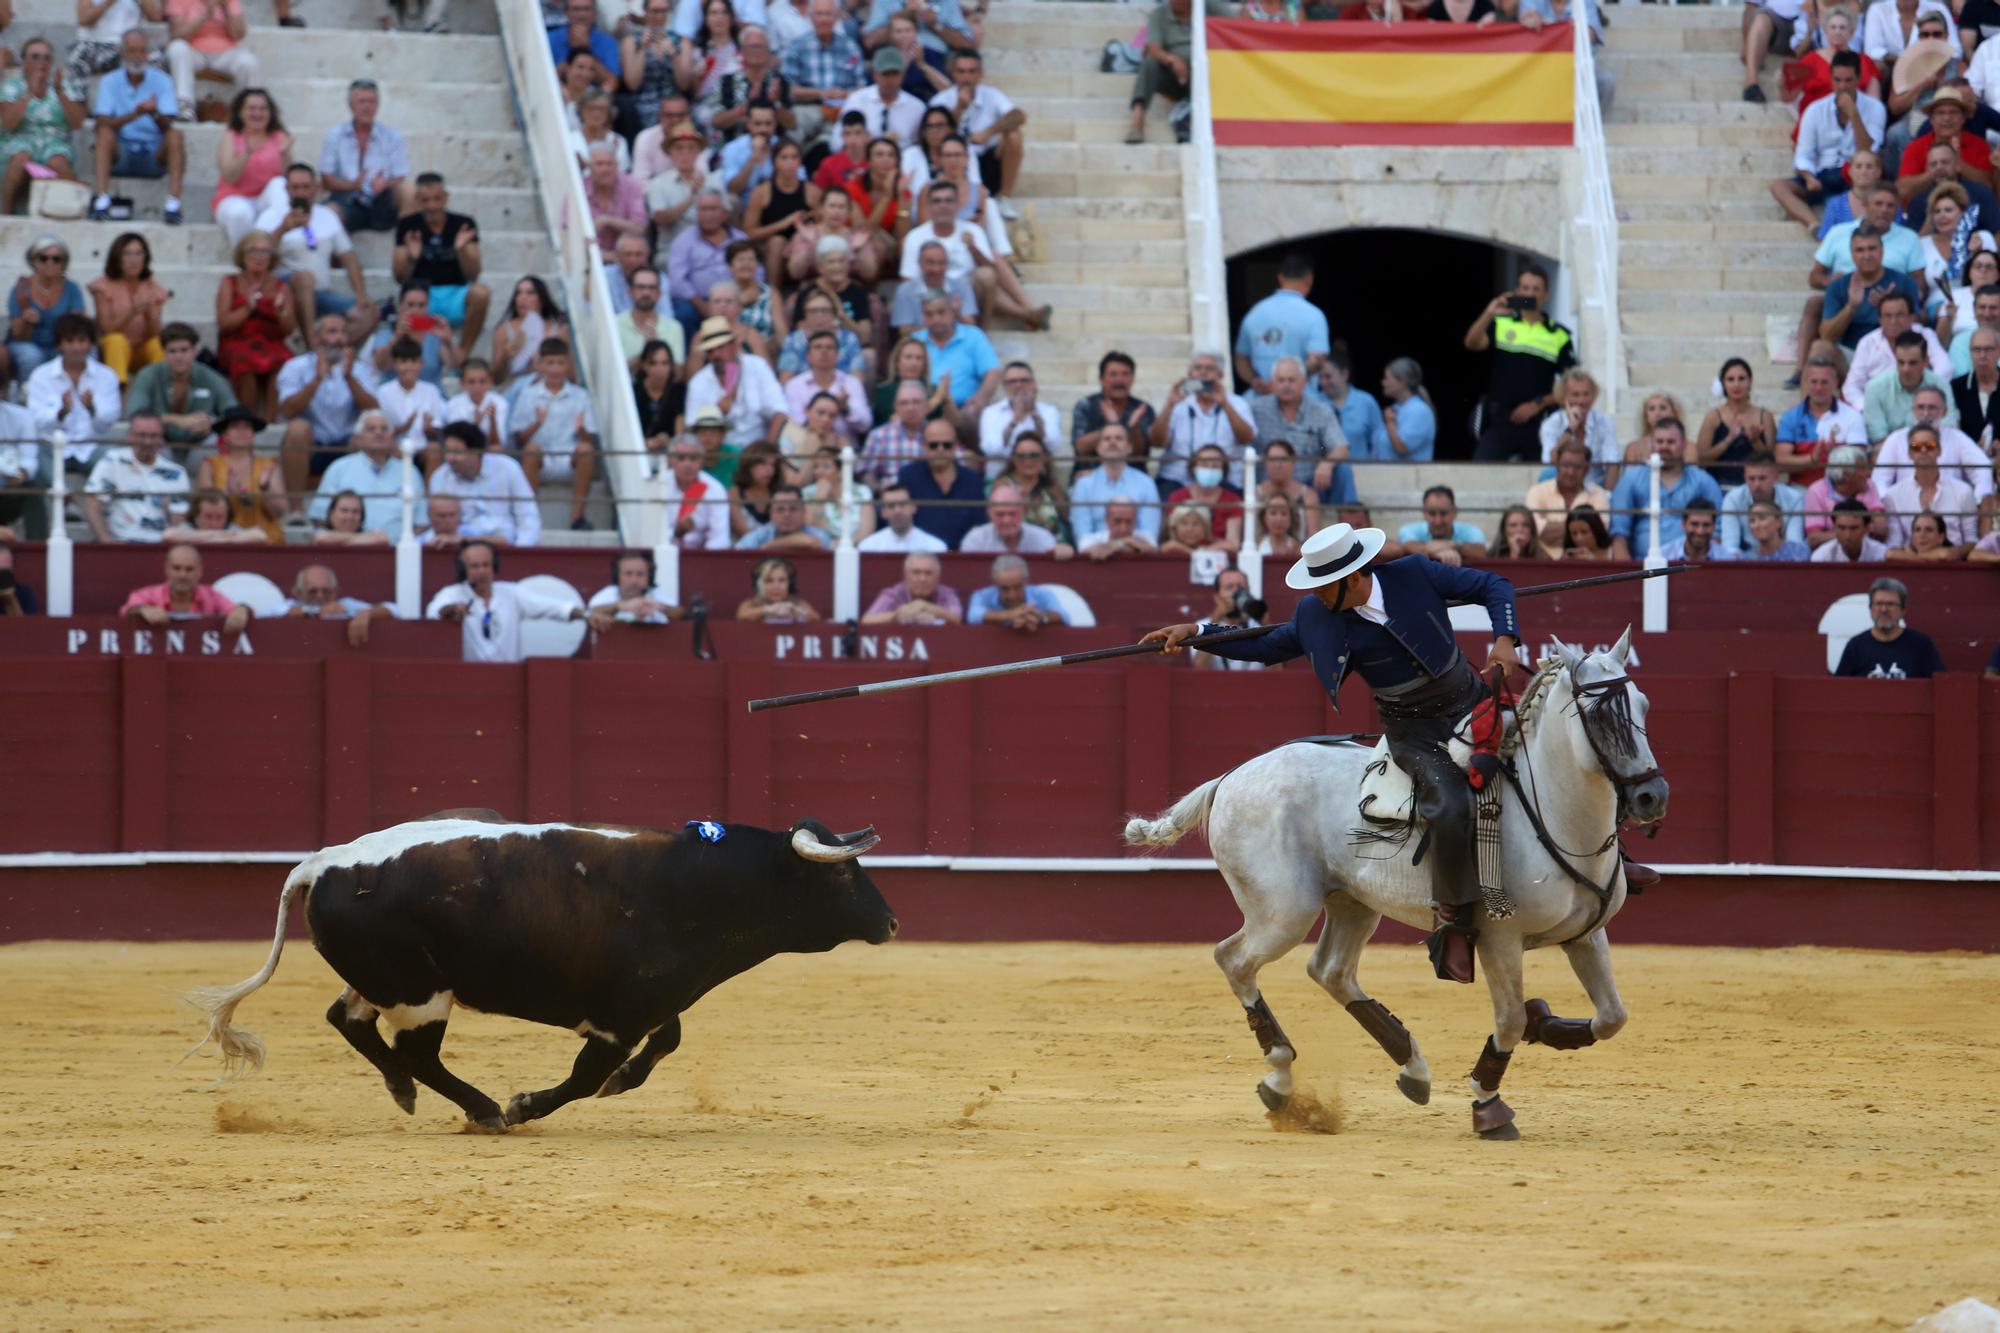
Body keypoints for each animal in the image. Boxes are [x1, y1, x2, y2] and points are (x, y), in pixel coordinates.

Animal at [184, 816, 896, 1128]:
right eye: (841, 874)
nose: (890, 922)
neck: (698, 885)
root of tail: (322, 862)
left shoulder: (651, 1003)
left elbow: (665, 1041)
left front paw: (622, 1083)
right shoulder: (618, 1017)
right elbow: (586, 1077)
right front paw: (526, 1104)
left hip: (387, 980)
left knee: (351, 1020)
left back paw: (404, 1093)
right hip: (420, 992)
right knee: (415, 1052)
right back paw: (484, 1109)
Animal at [1128, 628, 1672, 1136]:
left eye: (1644, 704)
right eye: (1600, 715)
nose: (1652, 796)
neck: (1553, 813)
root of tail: (1230, 776)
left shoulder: (1586, 934)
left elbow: (1611, 1016)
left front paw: (1545, 1023)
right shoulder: (1500, 938)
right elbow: (1510, 1019)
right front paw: (1488, 1106)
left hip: (1352, 903)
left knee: (1330, 970)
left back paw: (1412, 1068)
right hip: (1283, 912)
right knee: (1235, 960)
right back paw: (1280, 1078)